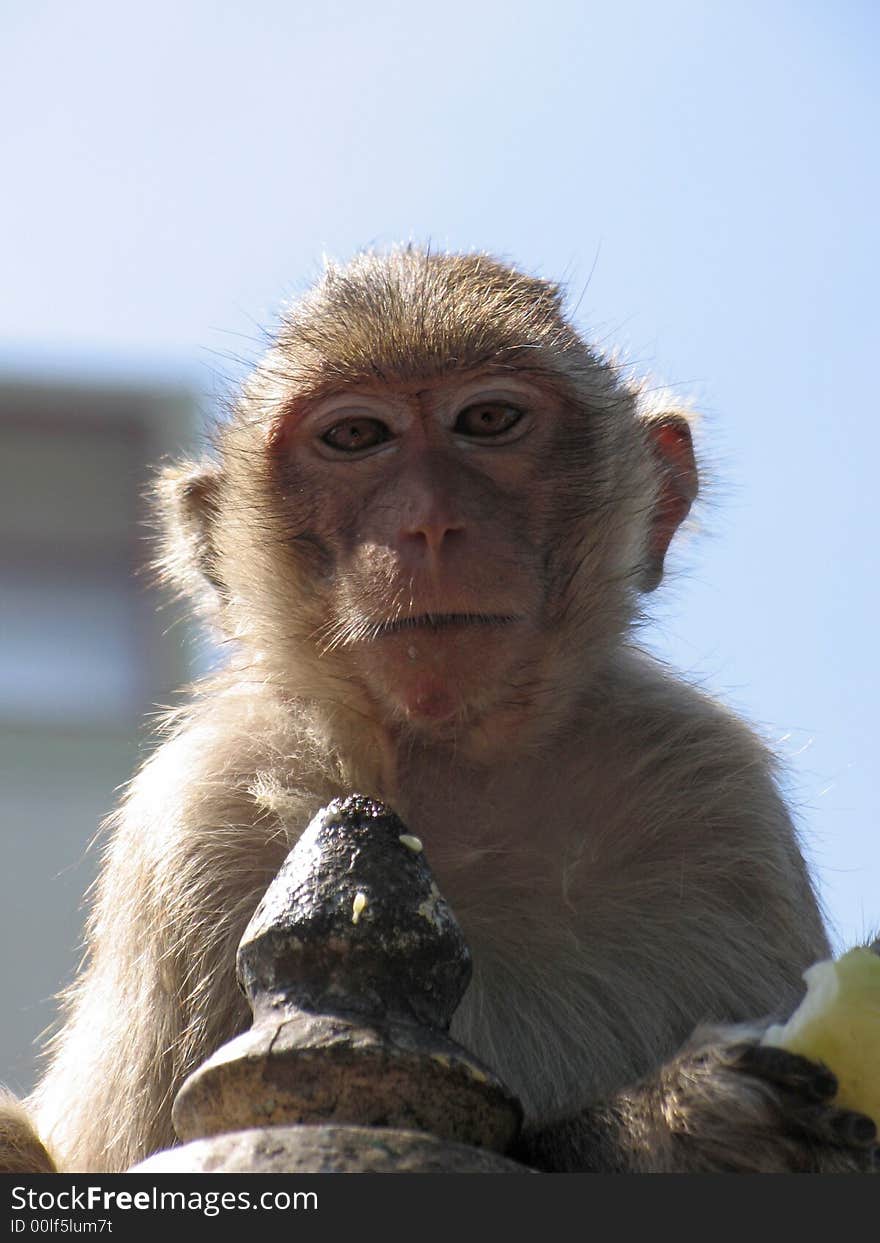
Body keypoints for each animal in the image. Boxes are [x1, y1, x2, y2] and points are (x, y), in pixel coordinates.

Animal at [3, 247, 875, 1168]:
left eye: (488, 419)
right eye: (356, 436)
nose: (430, 524)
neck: (458, 777)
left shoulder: (719, 797)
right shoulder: (199, 818)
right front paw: (686, 1120)